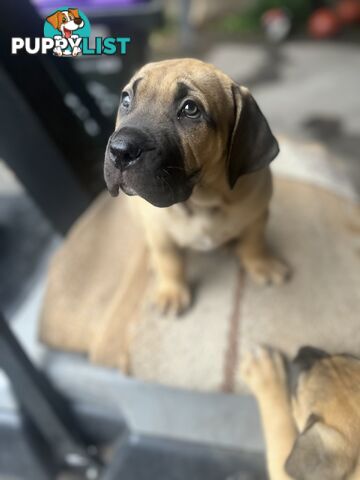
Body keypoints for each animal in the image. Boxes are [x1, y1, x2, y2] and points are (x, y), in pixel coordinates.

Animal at [103, 58, 290, 316]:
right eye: (126, 100)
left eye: (190, 109)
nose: (120, 150)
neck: (202, 200)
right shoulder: (159, 231)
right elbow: (169, 260)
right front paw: (171, 291)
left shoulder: (258, 214)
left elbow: (255, 240)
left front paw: (261, 263)